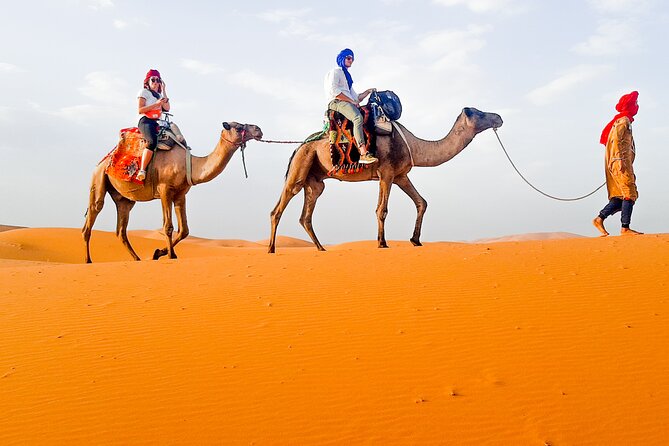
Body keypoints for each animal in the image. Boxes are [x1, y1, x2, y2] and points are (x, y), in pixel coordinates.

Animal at [83, 121, 263, 263]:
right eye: (238, 127)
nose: (258, 129)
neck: (189, 164)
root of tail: (104, 160)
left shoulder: (180, 194)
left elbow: (184, 230)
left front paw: (159, 253)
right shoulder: (165, 190)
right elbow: (168, 226)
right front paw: (170, 255)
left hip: (124, 199)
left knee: (121, 229)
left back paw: (137, 258)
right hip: (99, 178)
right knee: (94, 212)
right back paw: (88, 260)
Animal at [268, 107, 503, 253]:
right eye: (480, 112)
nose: (499, 117)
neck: (414, 145)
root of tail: (299, 145)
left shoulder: (400, 176)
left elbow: (422, 202)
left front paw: (415, 240)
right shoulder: (387, 173)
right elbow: (382, 209)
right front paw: (382, 243)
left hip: (315, 181)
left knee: (306, 215)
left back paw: (320, 248)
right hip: (301, 165)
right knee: (279, 206)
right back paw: (271, 248)